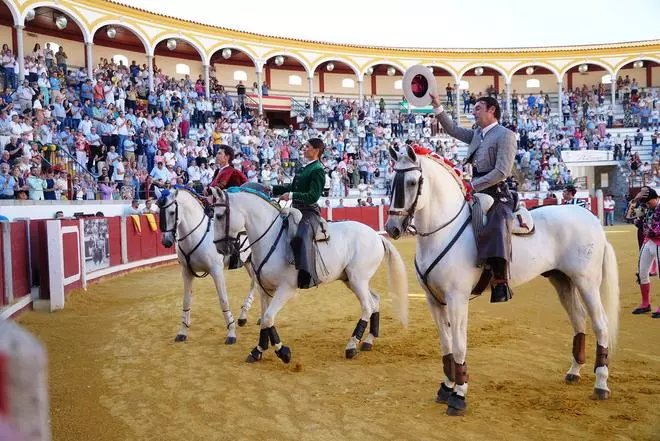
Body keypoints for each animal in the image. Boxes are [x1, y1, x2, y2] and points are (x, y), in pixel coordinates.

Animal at [155, 186, 258, 344]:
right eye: (158, 212)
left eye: (172, 212)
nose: (166, 241)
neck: (195, 235)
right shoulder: (186, 272)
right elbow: (186, 301)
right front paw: (182, 331)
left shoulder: (217, 271)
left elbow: (223, 300)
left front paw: (231, 333)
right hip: (247, 262)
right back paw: (244, 316)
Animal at [211, 186, 408, 360]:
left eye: (219, 216)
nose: (220, 249)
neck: (270, 239)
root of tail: (377, 236)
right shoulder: (265, 289)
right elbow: (265, 320)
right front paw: (258, 350)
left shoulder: (286, 289)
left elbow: (267, 318)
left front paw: (283, 352)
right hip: (352, 280)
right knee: (375, 301)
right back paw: (368, 341)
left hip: (357, 279)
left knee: (367, 306)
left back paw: (351, 346)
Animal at [384, 145, 620, 416]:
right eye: (392, 181)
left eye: (412, 182)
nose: (392, 228)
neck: (441, 232)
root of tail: (589, 217)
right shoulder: (434, 300)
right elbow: (446, 345)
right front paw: (446, 387)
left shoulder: (457, 299)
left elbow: (460, 344)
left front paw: (459, 395)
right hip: (562, 280)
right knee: (578, 320)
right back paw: (574, 372)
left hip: (587, 281)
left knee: (600, 323)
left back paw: (601, 384)